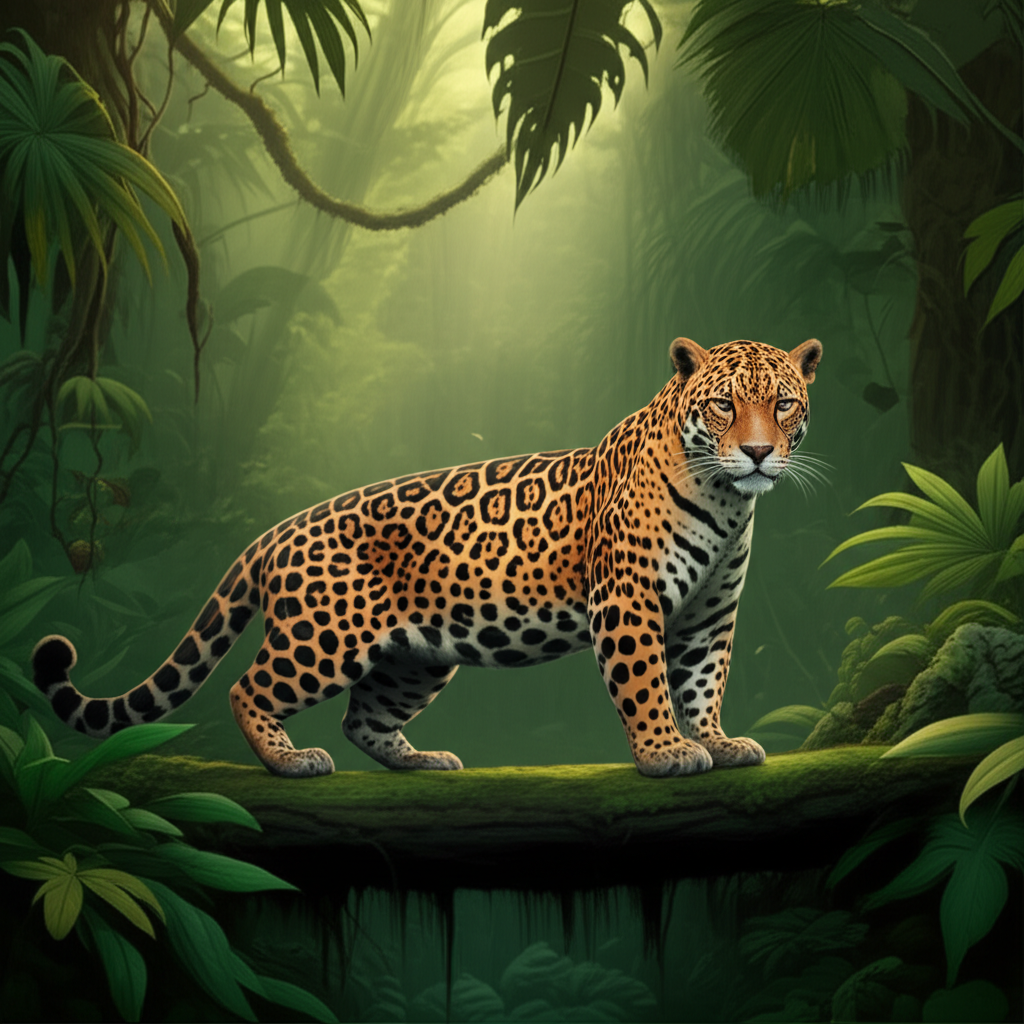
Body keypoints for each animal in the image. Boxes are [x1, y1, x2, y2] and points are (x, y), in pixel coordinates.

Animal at [32, 336, 822, 779]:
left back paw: (421, 759)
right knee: (246, 689)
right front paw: (664, 752)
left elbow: (702, 684)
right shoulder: (627, 602)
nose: (758, 453)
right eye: (723, 406)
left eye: (784, 404)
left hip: (416, 658)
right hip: (323, 639)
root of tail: (276, 531)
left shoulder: (708, 618)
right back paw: (289, 761)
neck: (727, 500)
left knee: (362, 719)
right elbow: (647, 683)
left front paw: (717, 742)